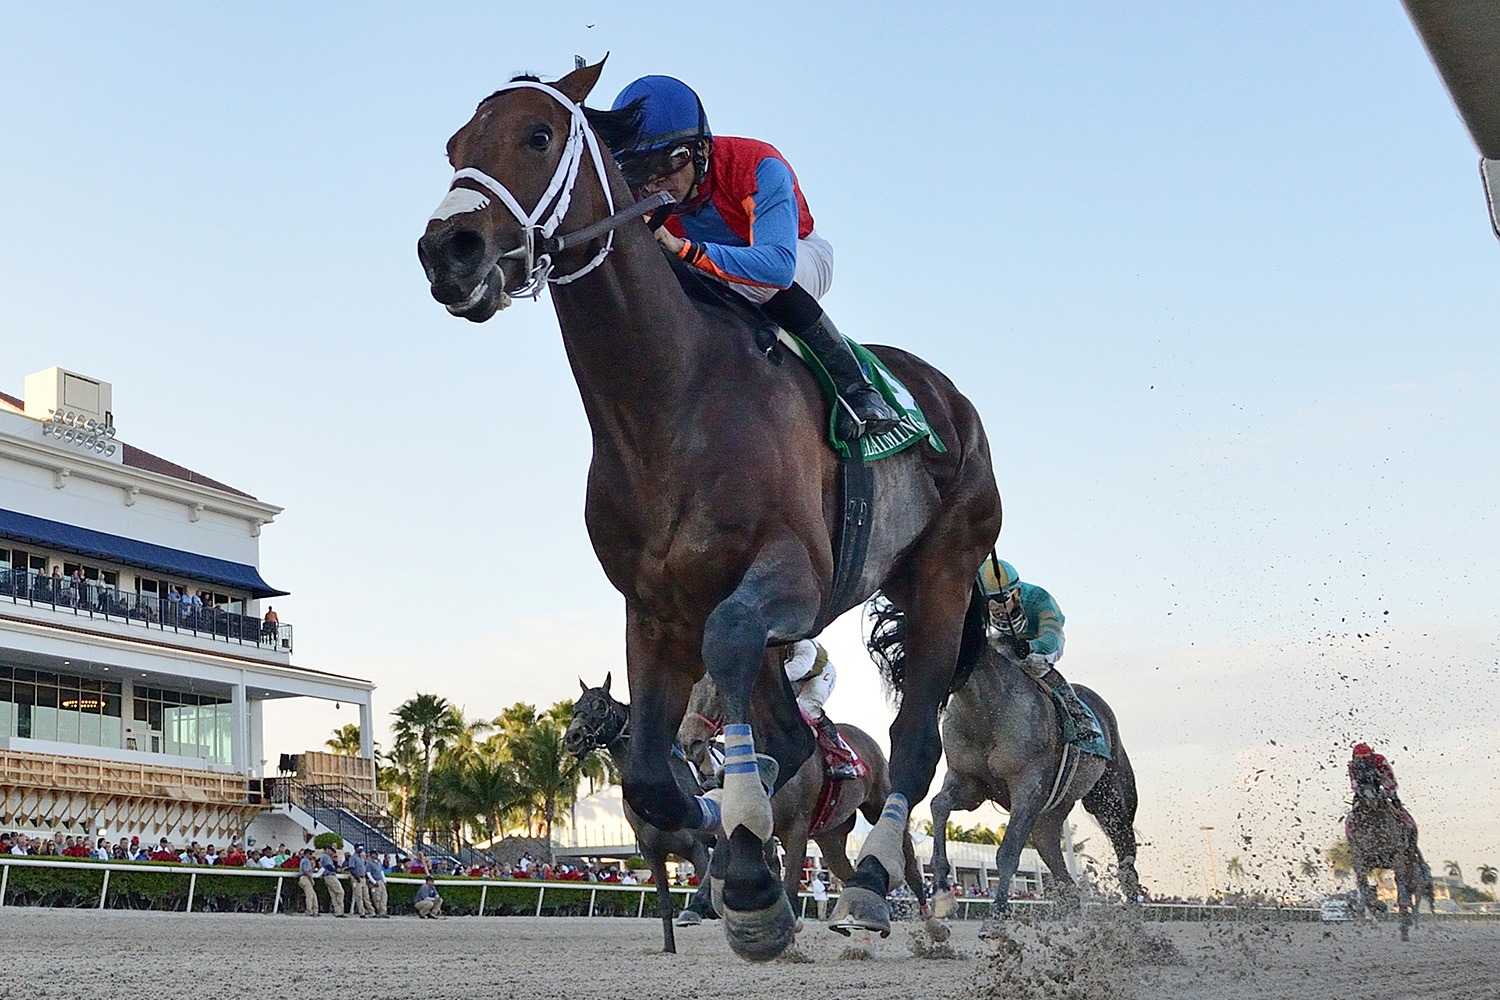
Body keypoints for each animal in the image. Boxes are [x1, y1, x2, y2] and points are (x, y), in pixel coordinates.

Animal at [563, 674, 718, 953]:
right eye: (574, 707)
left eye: (600, 706)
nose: (574, 737)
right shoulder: (652, 852)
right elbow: (665, 903)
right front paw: (669, 948)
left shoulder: (698, 848)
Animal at [676, 670, 933, 937]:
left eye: (717, 691)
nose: (689, 742)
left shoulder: (797, 825)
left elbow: (789, 877)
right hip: (830, 837)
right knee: (845, 871)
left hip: (879, 804)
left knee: (910, 864)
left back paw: (932, 925)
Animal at [867, 598, 1141, 928]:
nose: (911, 687)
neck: (987, 713)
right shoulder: (969, 783)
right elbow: (938, 805)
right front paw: (943, 892)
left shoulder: (1028, 787)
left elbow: (1007, 852)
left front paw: (998, 914)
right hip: (1049, 820)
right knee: (1065, 879)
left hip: (1111, 798)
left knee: (1126, 857)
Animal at [1346, 761, 1426, 941]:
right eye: (1357, 777)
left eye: (1375, 777)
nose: (1370, 798)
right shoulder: (1360, 859)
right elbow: (1364, 887)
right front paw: (1372, 909)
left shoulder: (1398, 856)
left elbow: (1401, 889)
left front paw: (1404, 927)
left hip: (1410, 862)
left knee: (1410, 894)